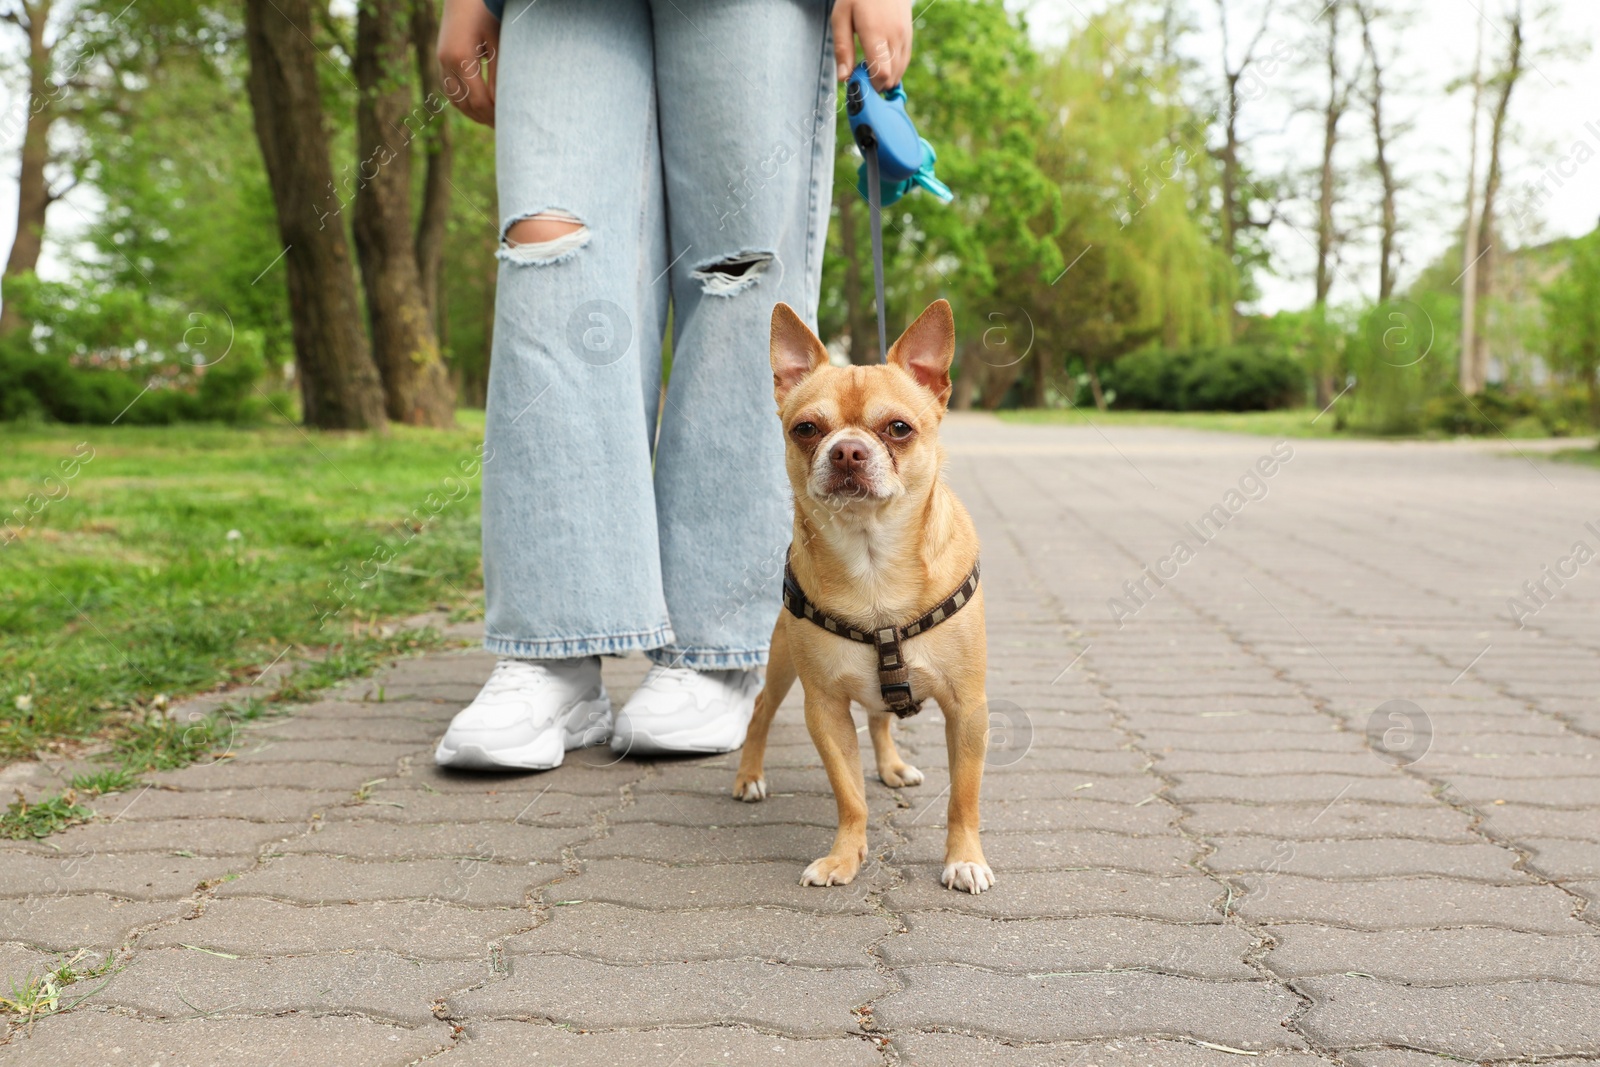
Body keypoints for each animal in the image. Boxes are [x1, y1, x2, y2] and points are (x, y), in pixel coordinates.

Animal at [732, 299, 985, 895]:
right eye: (806, 428)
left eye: (899, 428)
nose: (847, 450)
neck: (873, 563)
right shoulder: (823, 709)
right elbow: (850, 795)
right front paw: (845, 856)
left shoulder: (968, 710)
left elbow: (963, 797)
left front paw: (964, 858)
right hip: (783, 662)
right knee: (760, 709)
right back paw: (750, 775)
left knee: (879, 717)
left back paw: (892, 766)